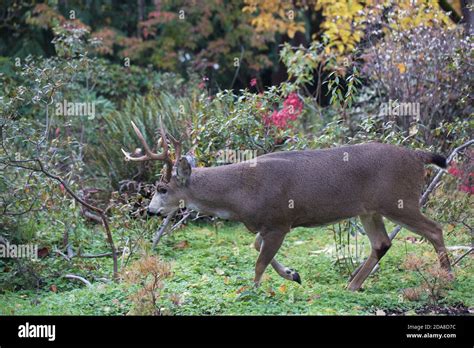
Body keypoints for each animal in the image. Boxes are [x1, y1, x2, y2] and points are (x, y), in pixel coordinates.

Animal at [121, 119, 452, 290]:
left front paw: (253, 291)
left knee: (435, 229)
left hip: (398, 200)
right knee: (382, 243)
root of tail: (418, 156)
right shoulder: (267, 225)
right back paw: (352, 285)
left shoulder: (280, 221)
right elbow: (257, 247)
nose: (150, 211)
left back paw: (447, 278)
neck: (240, 194)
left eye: (162, 188)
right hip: (370, 209)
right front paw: (293, 274)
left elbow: (259, 262)